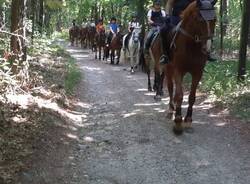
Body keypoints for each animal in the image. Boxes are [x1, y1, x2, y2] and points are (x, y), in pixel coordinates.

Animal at [165, 0, 216, 134]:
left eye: (214, 19)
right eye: (199, 19)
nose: (207, 48)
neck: (191, 45)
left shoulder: (197, 72)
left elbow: (192, 97)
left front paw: (188, 120)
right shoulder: (178, 70)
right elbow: (179, 95)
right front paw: (178, 122)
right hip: (168, 69)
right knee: (170, 88)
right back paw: (170, 111)